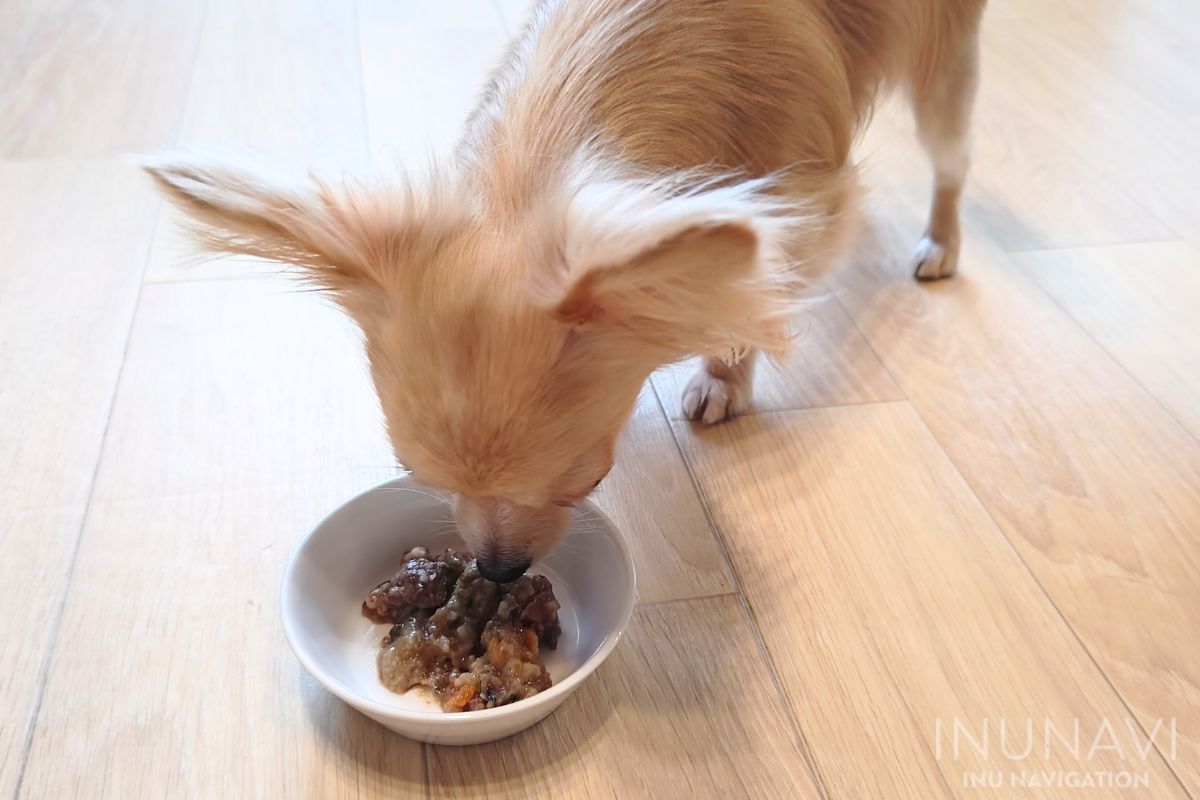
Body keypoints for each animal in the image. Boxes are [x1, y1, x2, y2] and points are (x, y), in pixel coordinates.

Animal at [145, 0, 984, 578]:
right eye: (415, 476)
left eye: (589, 478)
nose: (496, 571)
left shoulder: (796, 199)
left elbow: (754, 290)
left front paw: (725, 375)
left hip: (944, 65)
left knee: (951, 158)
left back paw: (940, 243)